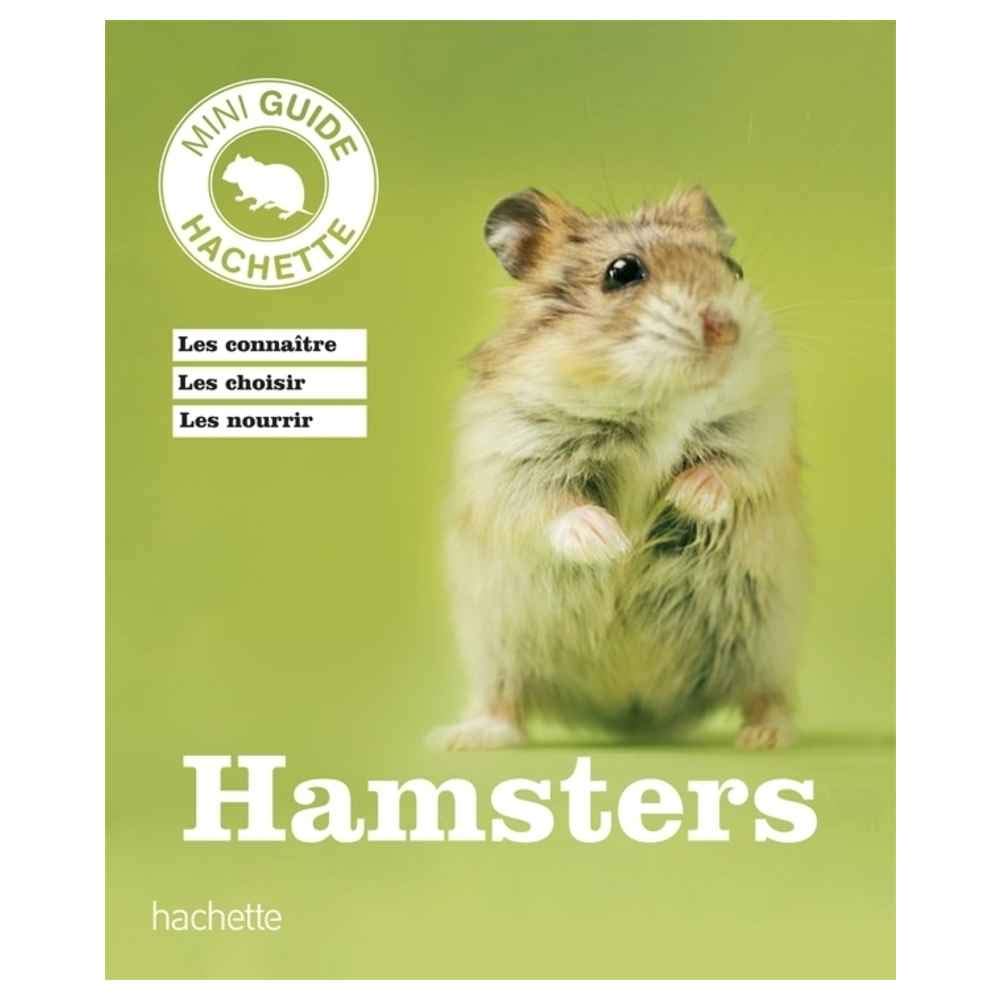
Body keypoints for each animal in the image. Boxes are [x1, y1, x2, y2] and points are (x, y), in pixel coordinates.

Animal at [431, 187, 810, 751]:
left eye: (734, 268)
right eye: (623, 271)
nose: (727, 330)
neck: (654, 404)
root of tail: (634, 711)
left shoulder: (759, 431)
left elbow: (727, 469)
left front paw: (685, 498)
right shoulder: (513, 457)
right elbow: (553, 504)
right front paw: (612, 543)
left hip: (766, 641)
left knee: (765, 696)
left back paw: (764, 737)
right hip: (497, 645)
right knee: (505, 703)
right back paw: (462, 739)